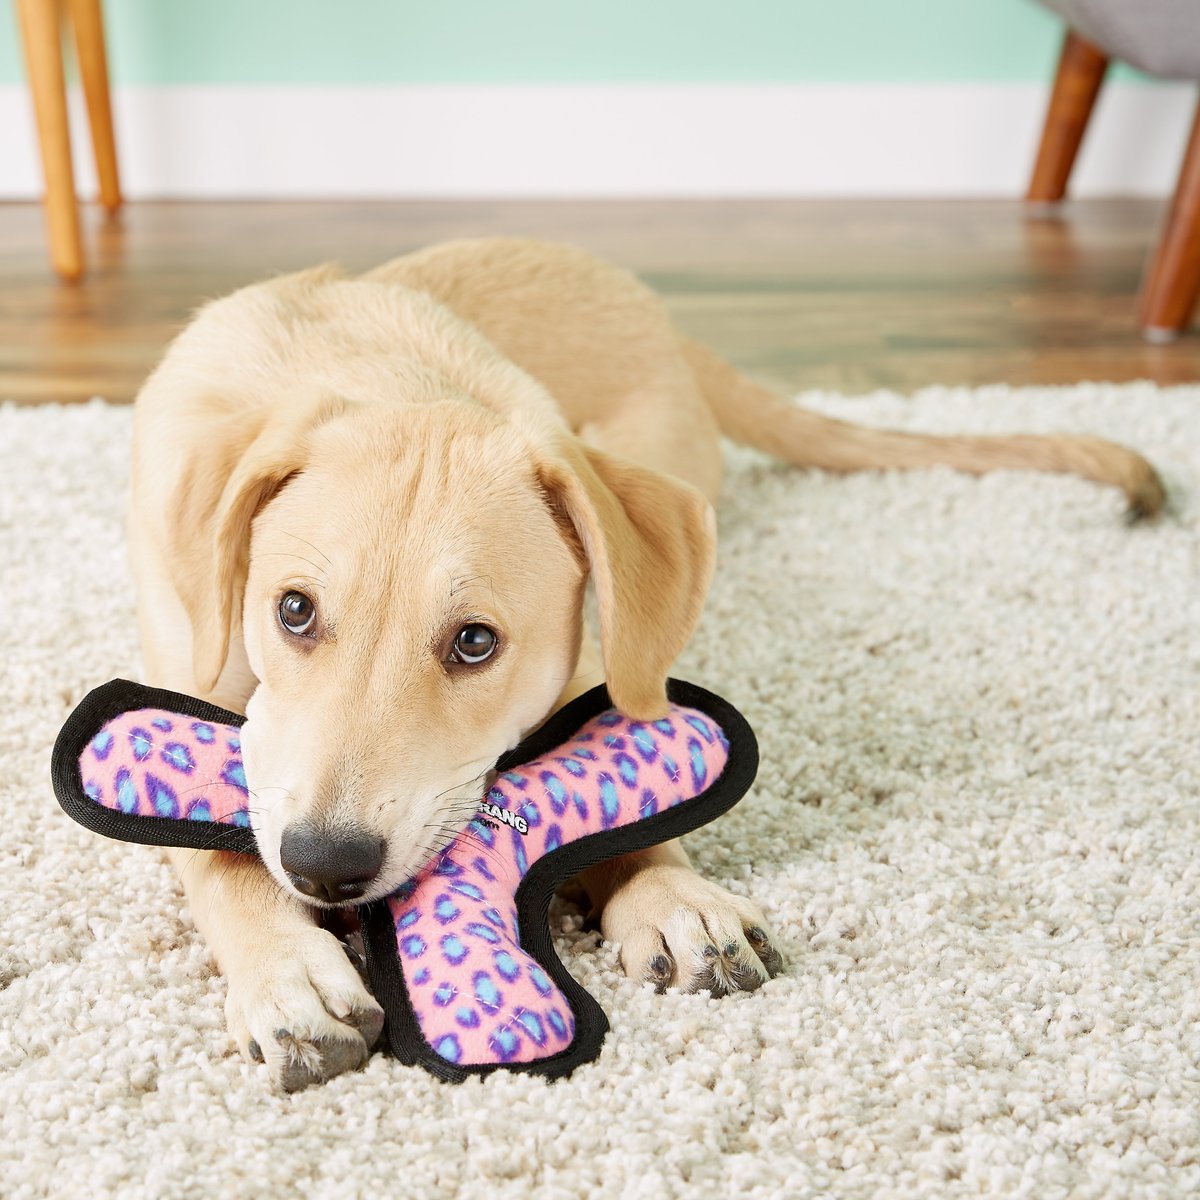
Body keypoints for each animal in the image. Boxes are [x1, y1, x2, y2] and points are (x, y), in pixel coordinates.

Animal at [129, 234, 1161, 1089]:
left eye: (475, 642)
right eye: (293, 612)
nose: (324, 868)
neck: (383, 381)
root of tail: (654, 312)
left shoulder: (598, 648)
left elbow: (627, 749)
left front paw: (669, 893)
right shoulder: (187, 674)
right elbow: (217, 850)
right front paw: (287, 976)